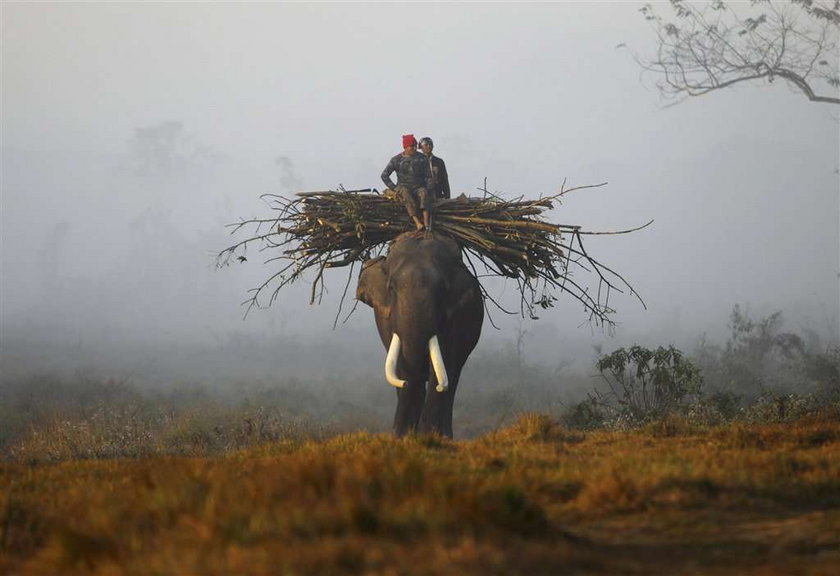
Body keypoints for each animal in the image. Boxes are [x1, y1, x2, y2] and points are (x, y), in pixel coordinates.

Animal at [356, 231, 486, 436]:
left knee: (452, 380)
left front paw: (428, 437)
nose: (396, 432)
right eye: (391, 288)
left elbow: (442, 368)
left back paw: (444, 435)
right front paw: (404, 437)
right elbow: (403, 368)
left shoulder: (454, 318)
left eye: (442, 289)